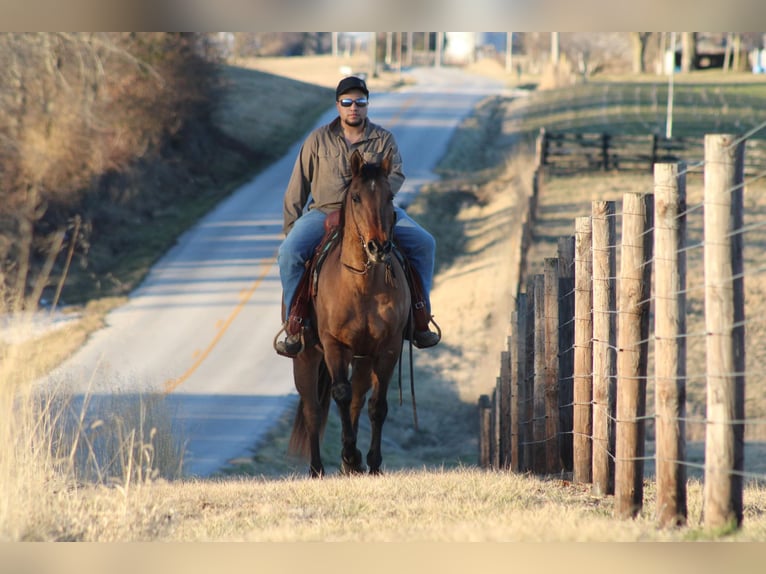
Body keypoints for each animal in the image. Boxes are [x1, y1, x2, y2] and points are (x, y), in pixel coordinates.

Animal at [288, 148, 412, 476]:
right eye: (355, 197)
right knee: (313, 409)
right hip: (306, 356)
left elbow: (376, 406)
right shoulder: (335, 346)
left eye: (389, 197)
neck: (362, 285)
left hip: (363, 357)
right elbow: (340, 395)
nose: (378, 247)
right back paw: (317, 469)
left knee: (358, 398)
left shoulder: (388, 348)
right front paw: (350, 454)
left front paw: (371, 462)